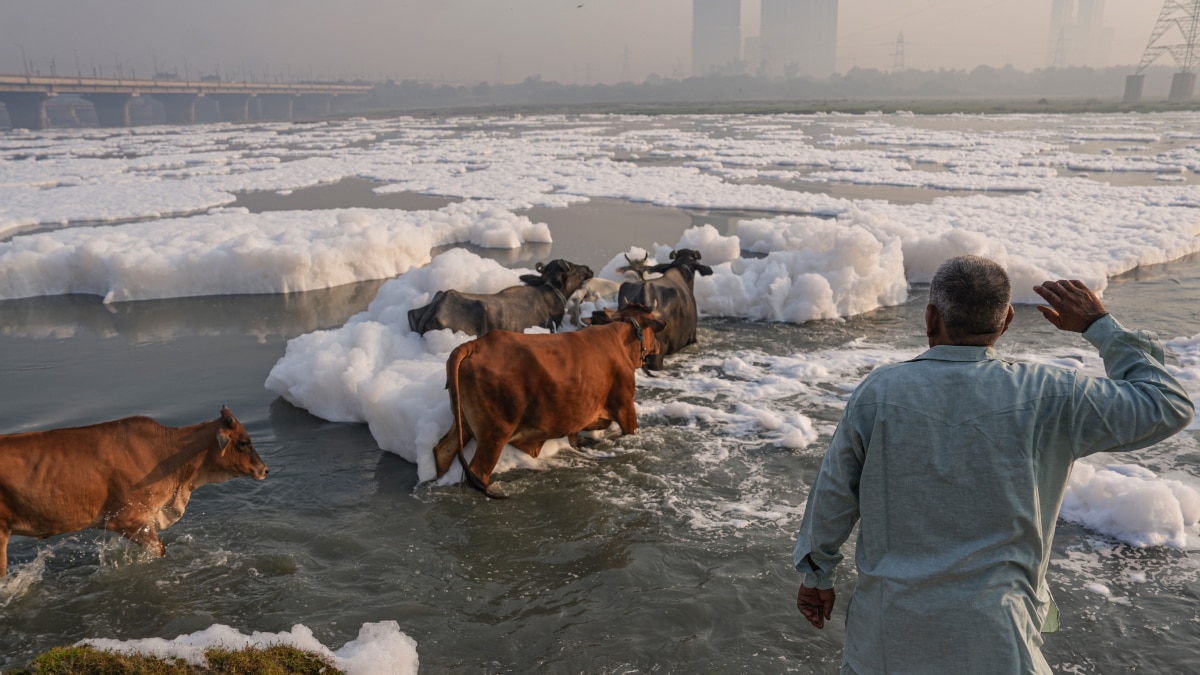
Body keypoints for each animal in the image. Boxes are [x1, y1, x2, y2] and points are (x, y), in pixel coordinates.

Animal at [436, 303, 672, 494]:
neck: (620, 339)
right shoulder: (625, 407)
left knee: (443, 451)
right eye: (652, 327)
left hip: (463, 423)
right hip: (494, 433)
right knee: (478, 471)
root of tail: (475, 345)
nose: (660, 346)